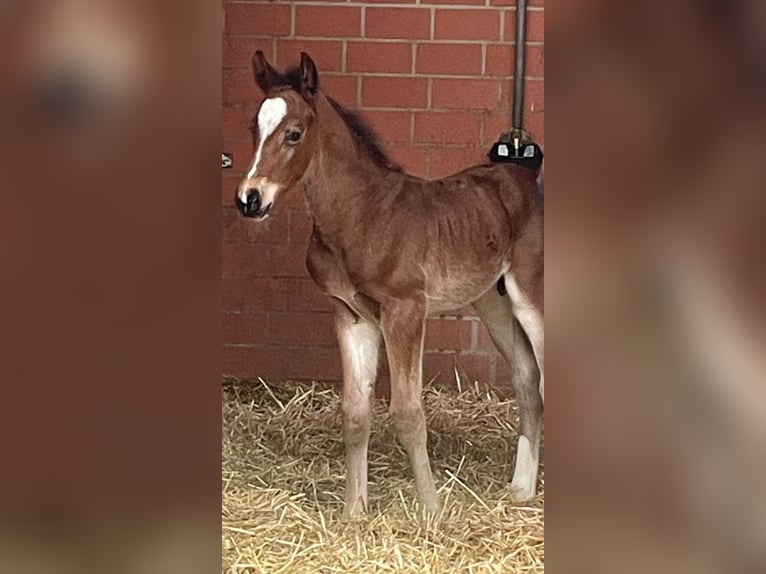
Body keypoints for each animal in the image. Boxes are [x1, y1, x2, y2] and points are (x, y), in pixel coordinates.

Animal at [237, 53, 544, 520]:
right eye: (254, 130)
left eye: (294, 133)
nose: (249, 199)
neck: (362, 214)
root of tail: (528, 179)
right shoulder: (350, 315)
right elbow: (355, 413)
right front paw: (353, 512)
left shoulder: (405, 311)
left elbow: (408, 412)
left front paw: (431, 512)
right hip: (494, 303)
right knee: (528, 381)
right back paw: (522, 489)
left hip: (532, 297)